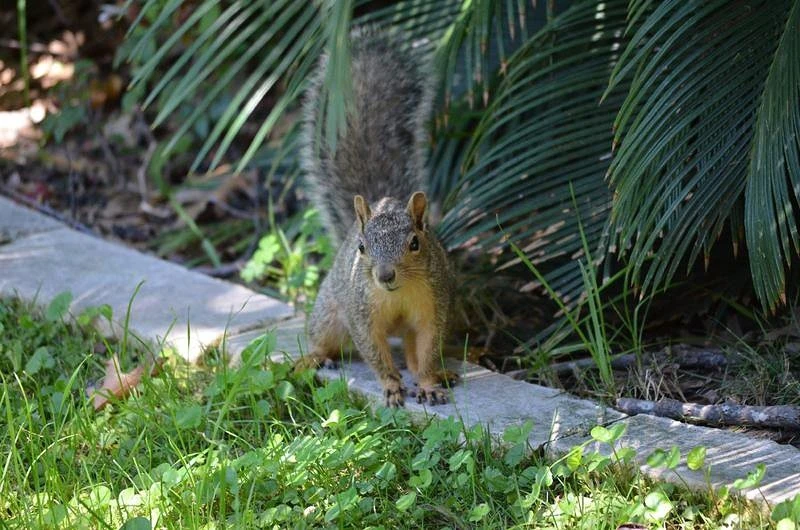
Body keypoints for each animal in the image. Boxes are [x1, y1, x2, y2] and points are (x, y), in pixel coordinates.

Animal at [296, 29, 456, 407]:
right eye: (362, 248)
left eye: (415, 243)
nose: (385, 275)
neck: (397, 295)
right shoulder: (361, 313)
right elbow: (373, 352)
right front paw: (391, 385)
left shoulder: (433, 307)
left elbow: (428, 350)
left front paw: (428, 383)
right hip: (330, 311)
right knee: (323, 336)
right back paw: (313, 357)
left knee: (412, 353)